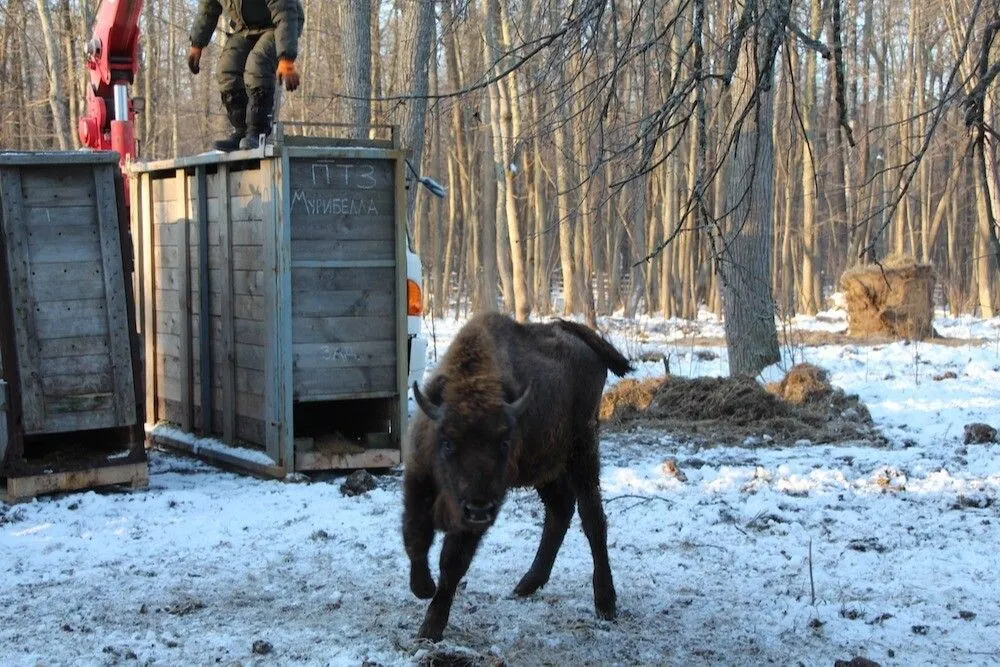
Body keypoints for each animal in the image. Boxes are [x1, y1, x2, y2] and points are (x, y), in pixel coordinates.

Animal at [400, 312, 628, 640]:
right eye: (448, 442)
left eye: (504, 443)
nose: (478, 509)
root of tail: (581, 338)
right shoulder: (418, 483)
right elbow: (415, 536)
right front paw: (423, 588)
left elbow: (452, 561)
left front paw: (430, 626)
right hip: (545, 468)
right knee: (560, 510)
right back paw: (527, 584)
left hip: (582, 451)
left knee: (592, 518)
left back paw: (605, 603)